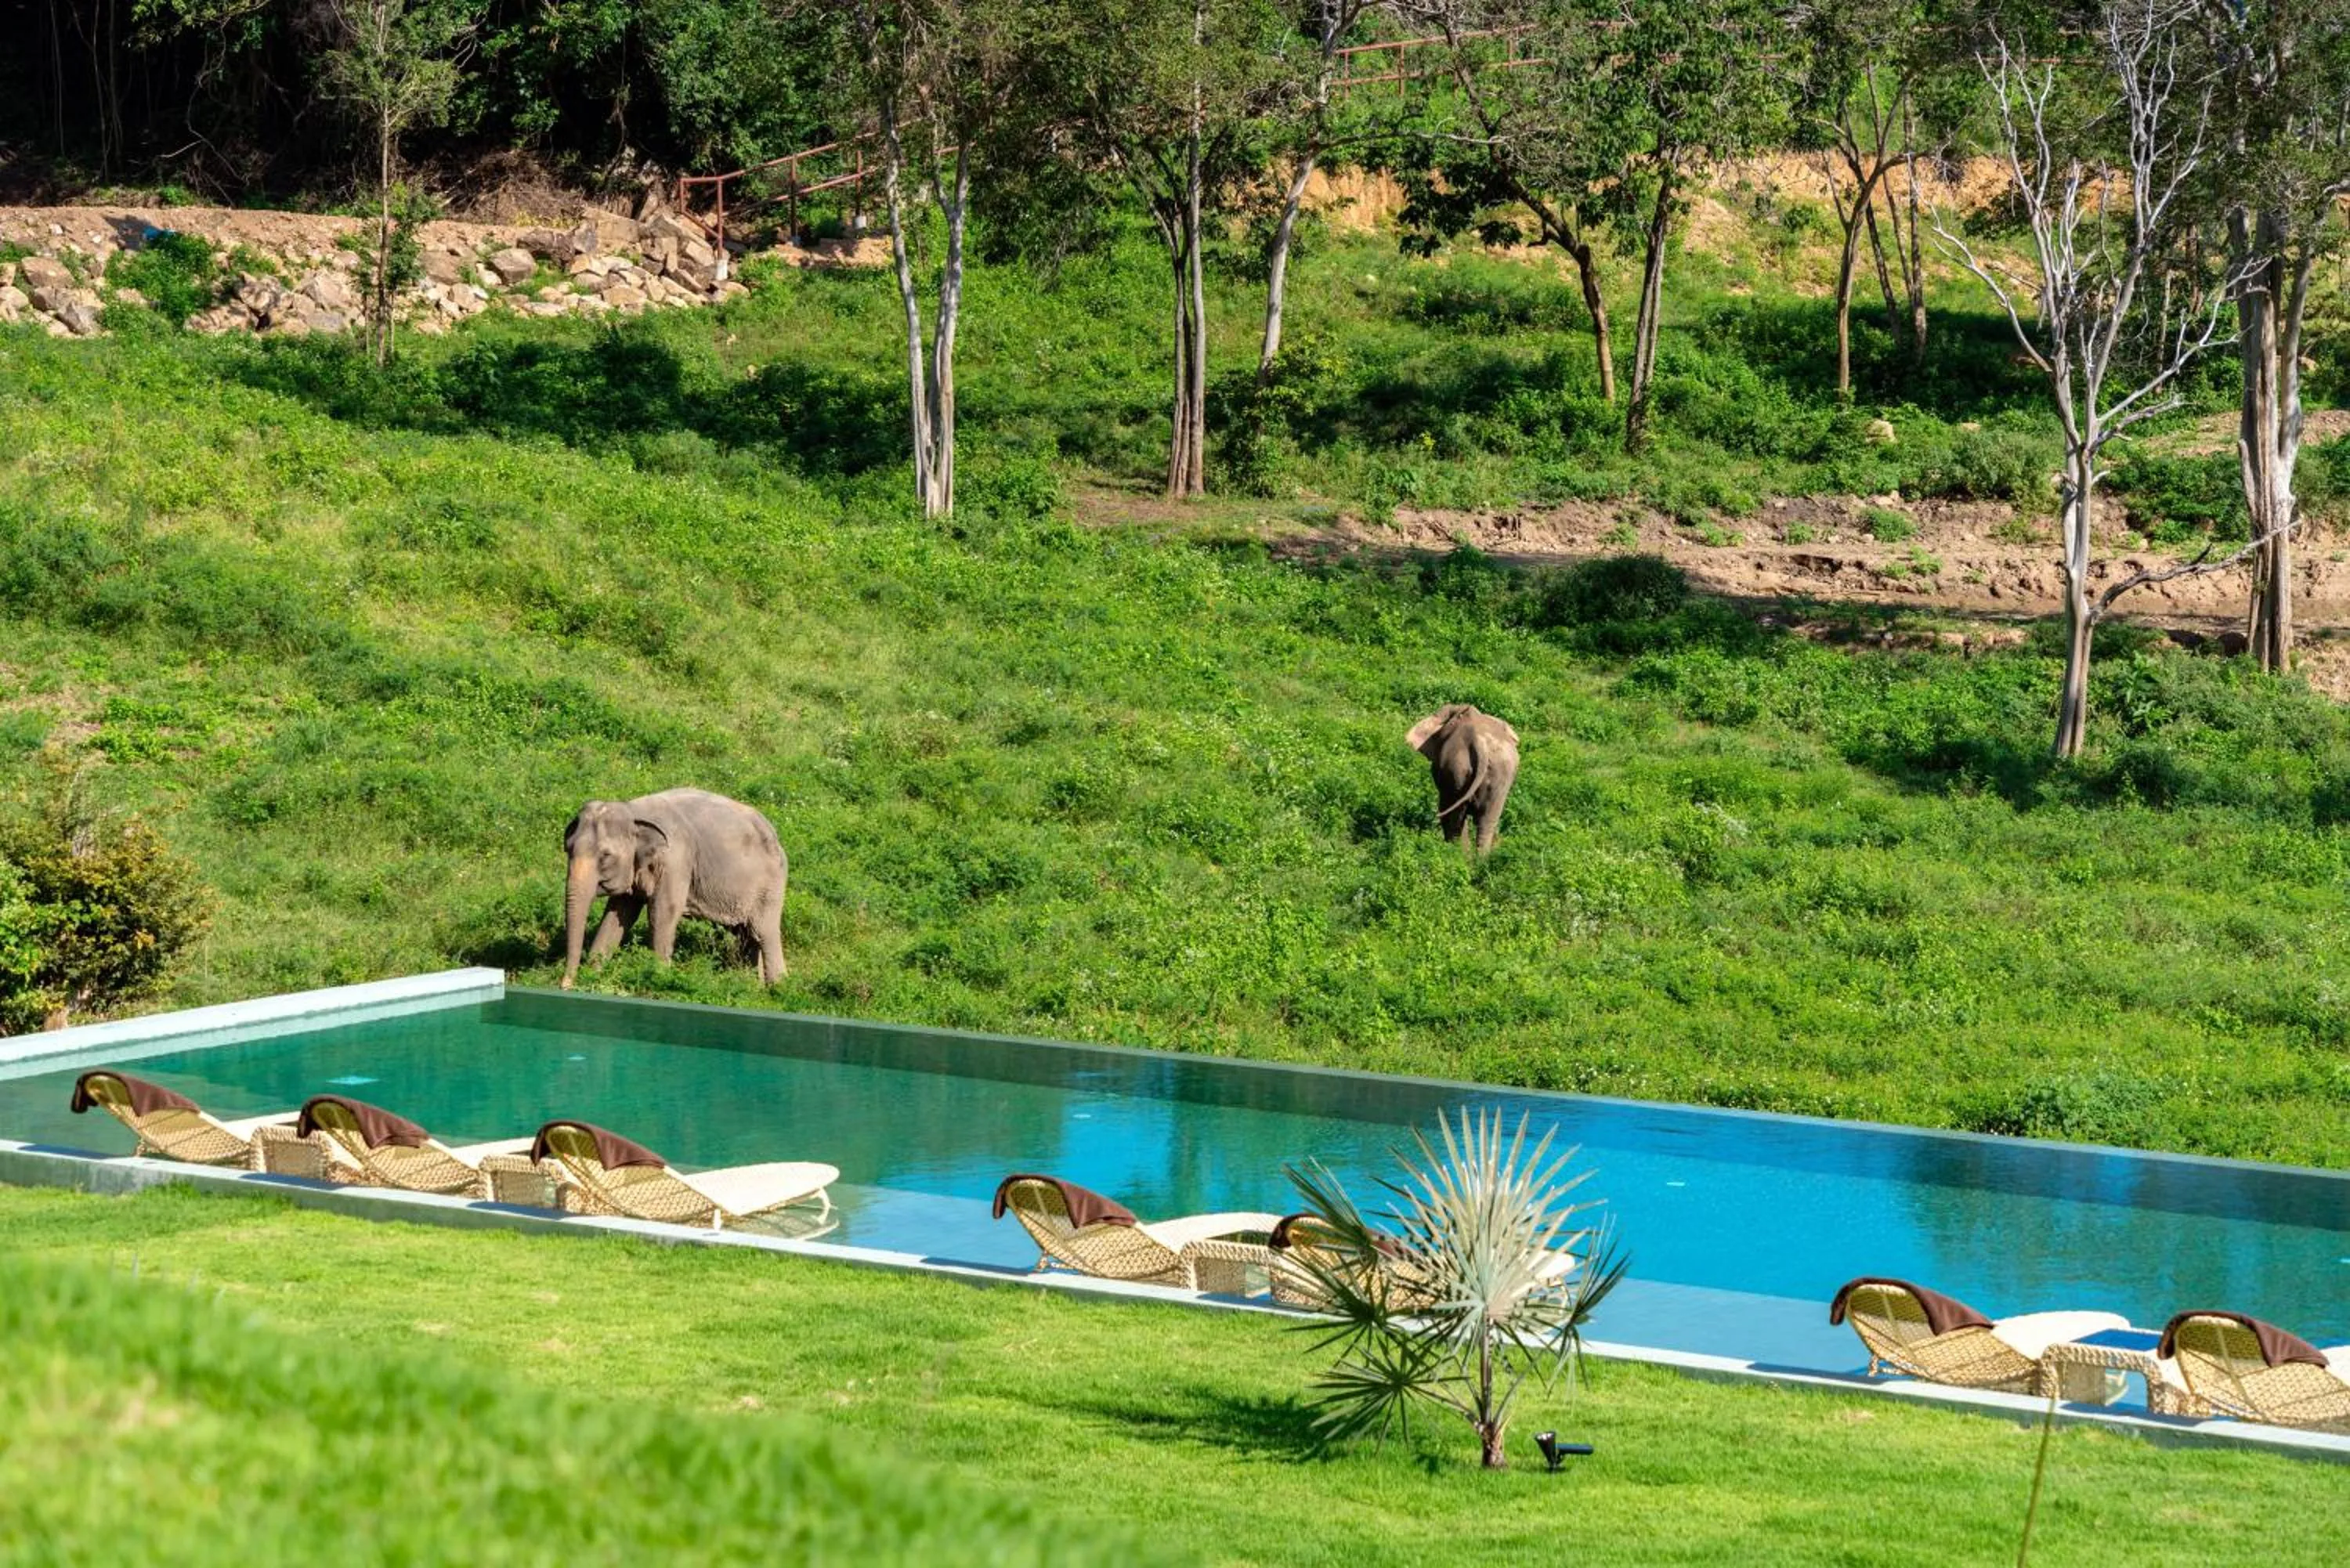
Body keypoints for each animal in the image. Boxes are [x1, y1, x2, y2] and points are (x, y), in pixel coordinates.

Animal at [560, 788, 788, 988]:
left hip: (771, 885)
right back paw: (751, 984)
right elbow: (618, 915)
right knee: (745, 933)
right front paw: (592, 975)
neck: (634, 811)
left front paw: (659, 977)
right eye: (568, 849)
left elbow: (662, 913)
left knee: (763, 932)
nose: (565, 984)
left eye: (605, 855)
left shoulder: (676, 861)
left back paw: (777, 987)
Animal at [1406, 704, 1520, 855]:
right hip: (1500, 773)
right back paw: (1479, 859)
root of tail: (1481, 745)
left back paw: (1458, 855)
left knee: (1455, 815)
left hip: (1457, 770)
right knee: (1487, 820)